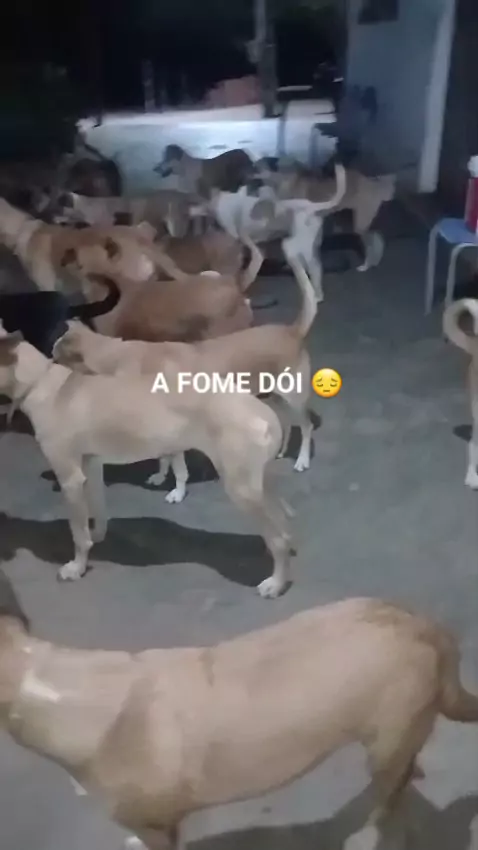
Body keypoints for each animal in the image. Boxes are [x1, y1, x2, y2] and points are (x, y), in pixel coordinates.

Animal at [0, 331, 292, 597]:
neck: (41, 384)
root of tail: (262, 410)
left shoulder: (69, 478)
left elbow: (77, 533)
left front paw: (76, 567)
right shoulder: (91, 466)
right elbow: (98, 511)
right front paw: (98, 537)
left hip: (241, 488)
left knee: (279, 538)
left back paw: (276, 583)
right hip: (256, 484)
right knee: (281, 522)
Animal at [54, 247, 316, 484]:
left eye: (55, 356)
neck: (116, 357)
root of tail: (292, 331)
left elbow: (173, 462)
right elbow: (164, 458)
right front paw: (161, 476)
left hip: (294, 398)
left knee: (306, 426)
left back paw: (302, 461)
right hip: (276, 396)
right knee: (287, 422)